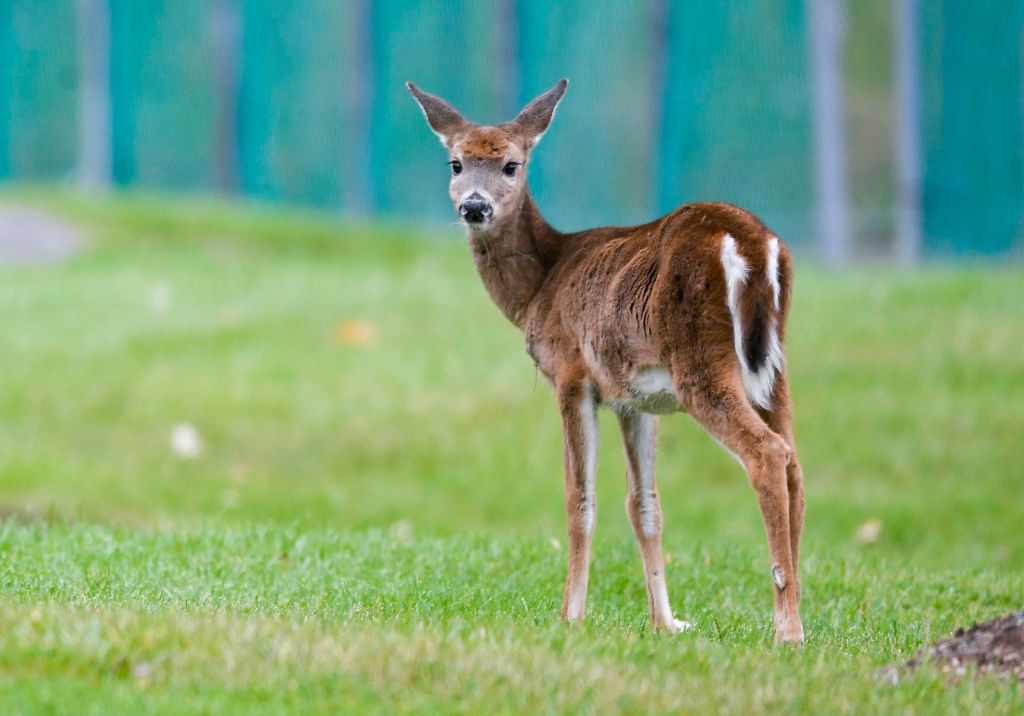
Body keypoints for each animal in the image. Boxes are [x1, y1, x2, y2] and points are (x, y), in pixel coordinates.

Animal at [407, 78, 805, 644]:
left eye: (511, 165)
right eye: (456, 164)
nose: (475, 208)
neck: (541, 286)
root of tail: (753, 245)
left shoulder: (572, 374)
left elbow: (579, 500)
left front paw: (569, 615)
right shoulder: (634, 399)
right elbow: (645, 505)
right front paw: (666, 621)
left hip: (700, 361)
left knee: (768, 454)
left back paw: (786, 629)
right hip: (772, 367)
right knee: (795, 463)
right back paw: (798, 611)